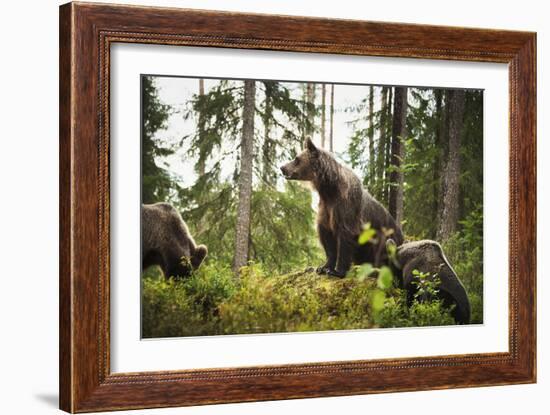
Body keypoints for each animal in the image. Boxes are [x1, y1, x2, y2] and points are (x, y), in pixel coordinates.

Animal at [280, 138, 406, 278]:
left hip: (385, 238)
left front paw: (336, 271)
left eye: (296, 159)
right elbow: (327, 238)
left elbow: (345, 237)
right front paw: (323, 267)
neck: (328, 189)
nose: (282, 168)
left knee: (387, 250)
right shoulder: (326, 208)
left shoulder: (346, 206)